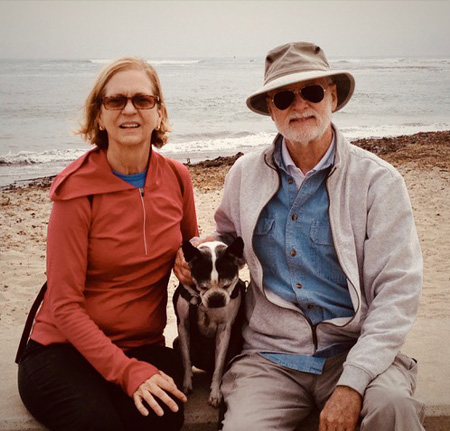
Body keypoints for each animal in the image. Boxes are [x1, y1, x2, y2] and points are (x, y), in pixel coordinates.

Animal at [173, 238, 244, 406]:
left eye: (227, 285)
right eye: (202, 286)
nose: (216, 298)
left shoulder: (225, 330)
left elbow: (219, 365)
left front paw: (215, 393)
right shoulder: (183, 325)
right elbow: (186, 358)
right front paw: (186, 383)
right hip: (176, 342)